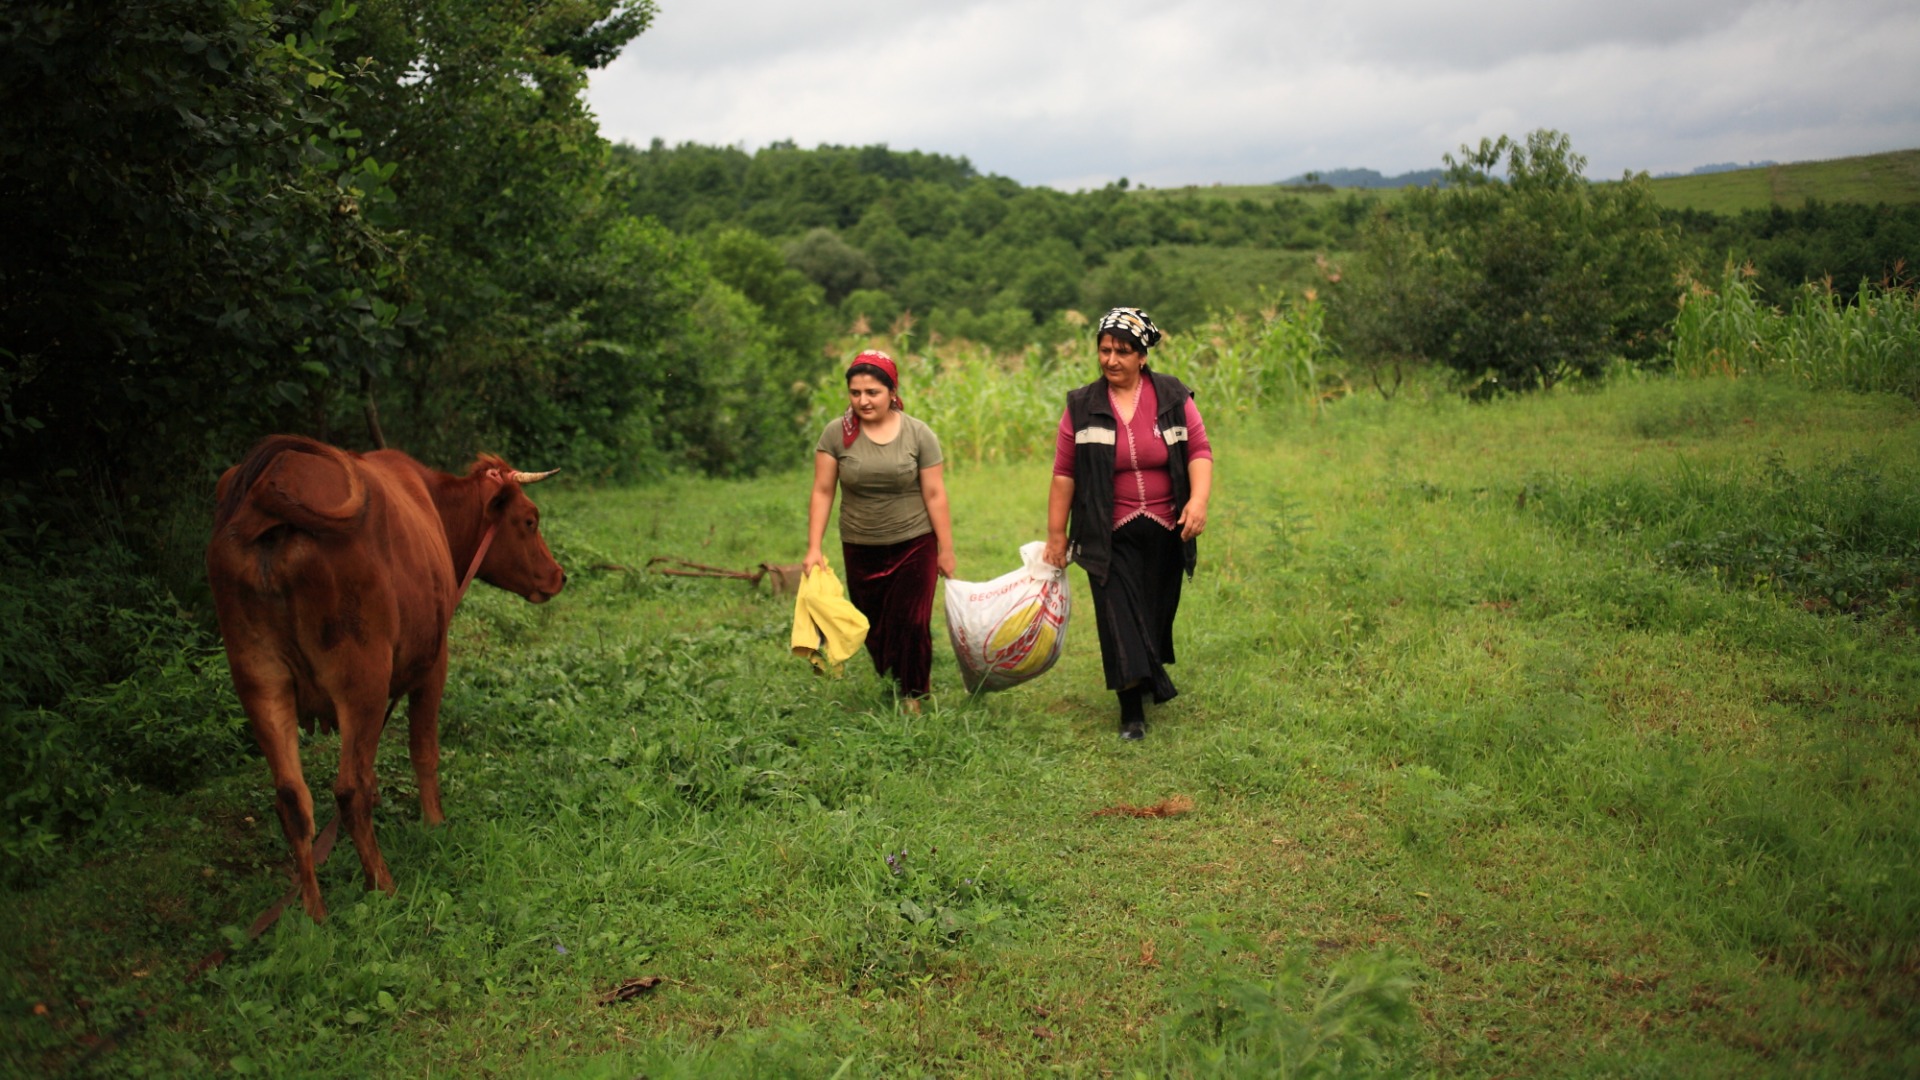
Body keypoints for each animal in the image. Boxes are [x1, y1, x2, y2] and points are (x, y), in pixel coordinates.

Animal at [204, 432, 560, 910]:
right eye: (529, 520)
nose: (558, 576)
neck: (431, 502)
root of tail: (273, 485)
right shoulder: (434, 663)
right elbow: (423, 751)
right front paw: (435, 822)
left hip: (259, 679)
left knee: (293, 800)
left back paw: (314, 914)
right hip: (362, 679)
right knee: (348, 789)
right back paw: (383, 887)